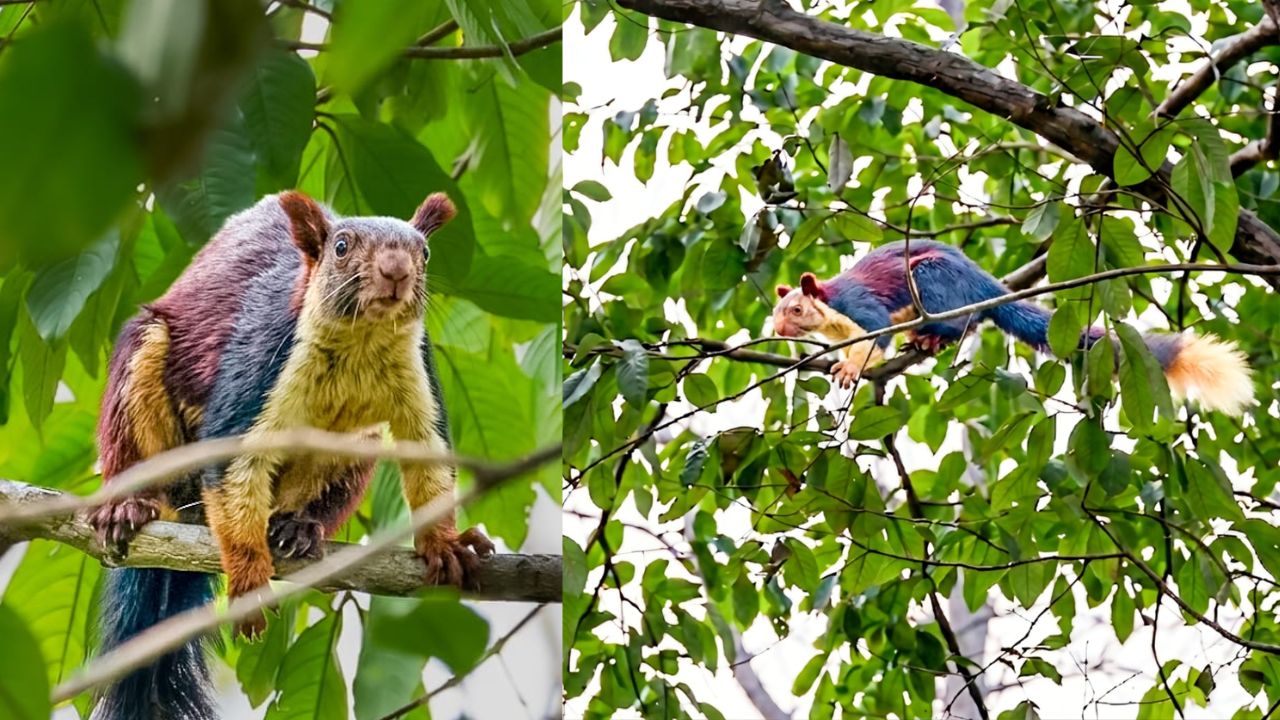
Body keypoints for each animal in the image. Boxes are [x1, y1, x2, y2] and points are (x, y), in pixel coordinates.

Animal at [86, 190, 493, 720]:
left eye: (424, 252)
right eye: (341, 246)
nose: (397, 271)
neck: (362, 342)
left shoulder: (418, 372)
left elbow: (429, 460)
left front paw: (444, 544)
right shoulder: (261, 358)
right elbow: (233, 467)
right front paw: (249, 579)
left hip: (356, 445)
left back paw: (298, 525)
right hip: (144, 367)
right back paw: (129, 504)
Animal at [772, 239, 1254, 415]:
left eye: (795, 309)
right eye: (775, 312)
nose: (777, 331)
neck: (831, 312)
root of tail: (983, 284)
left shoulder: (861, 307)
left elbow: (875, 337)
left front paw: (850, 369)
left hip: (931, 279)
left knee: (963, 323)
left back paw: (930, 336)